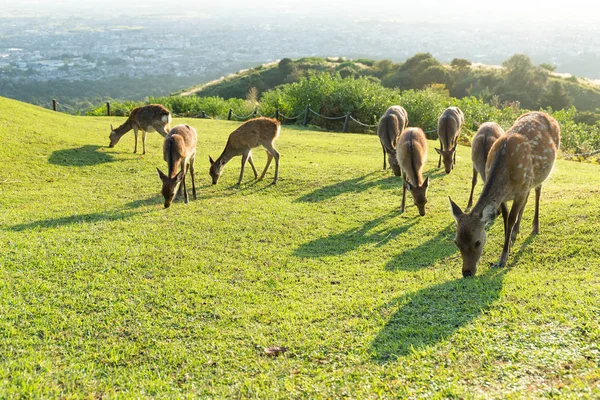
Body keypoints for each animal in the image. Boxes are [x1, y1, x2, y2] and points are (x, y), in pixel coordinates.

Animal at [450, 111, 564, 276]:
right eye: (456, 242)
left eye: (477, 242)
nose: (467, 272)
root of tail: (546, 114)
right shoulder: (504, 197)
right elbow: (505, 217)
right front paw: (508, 242)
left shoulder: (520, 190)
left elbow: (510, 219)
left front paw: (503, 258)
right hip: (528, 182)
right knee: (527, 198)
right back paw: (516, 232)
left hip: (539, 175)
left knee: (537, 192)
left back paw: (535, 227)